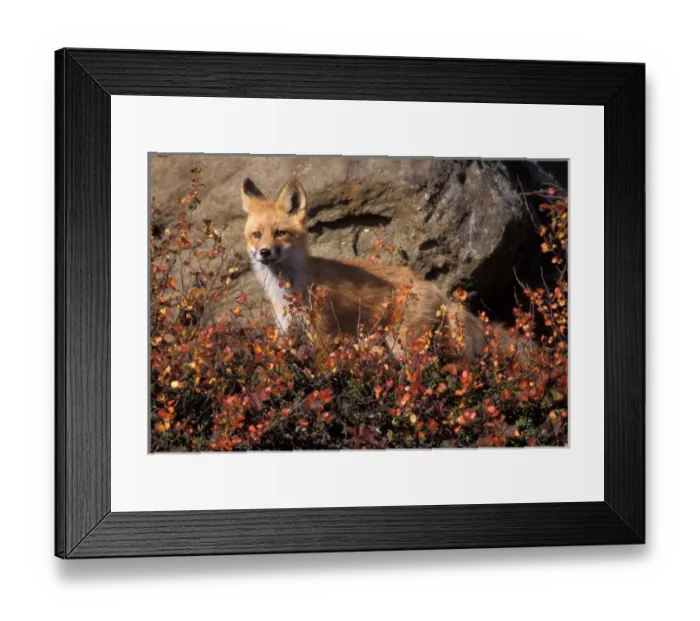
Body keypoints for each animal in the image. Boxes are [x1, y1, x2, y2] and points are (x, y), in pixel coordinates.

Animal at [241, 176, 489, 359]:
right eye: (256, 235)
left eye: (280, 233)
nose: (264, 252)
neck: (287, 288)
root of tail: (432, 285)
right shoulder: (286, 331)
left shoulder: (322, 332)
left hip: (403, 347)